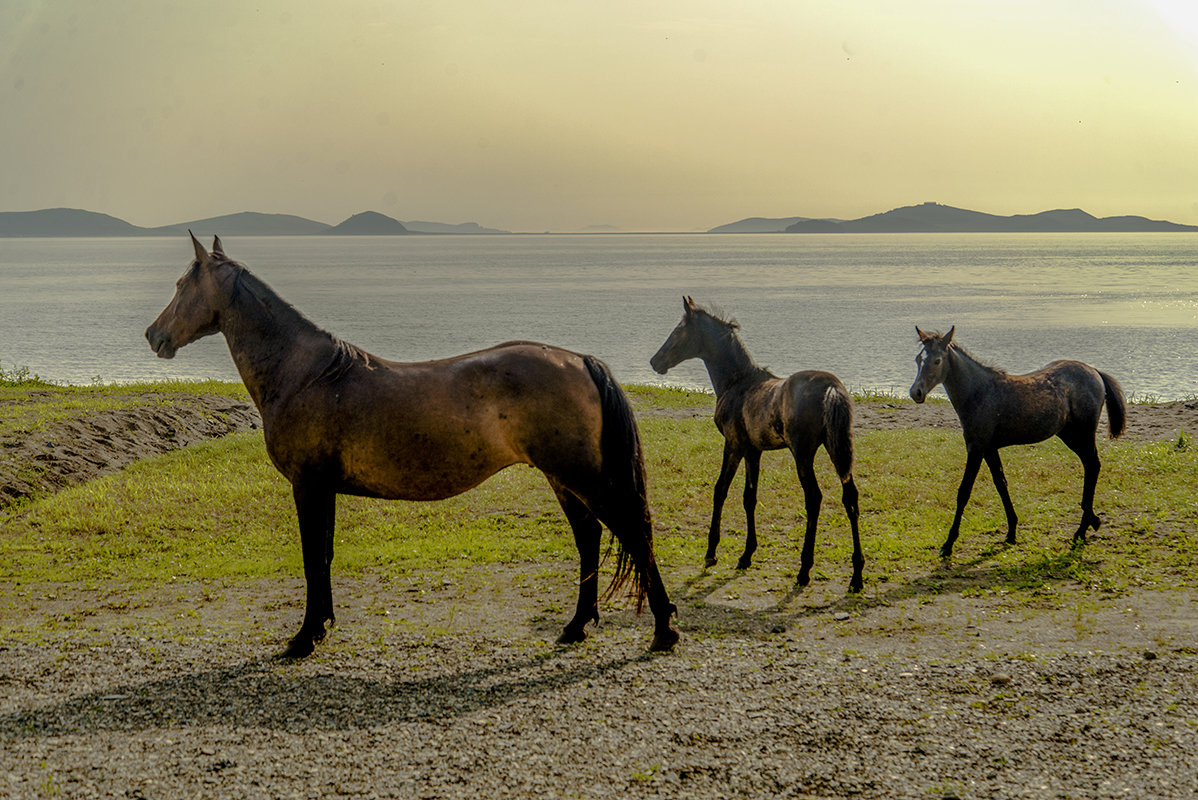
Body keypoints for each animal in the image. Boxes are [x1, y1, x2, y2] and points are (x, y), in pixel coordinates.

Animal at [144, 231, 680, 656]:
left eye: (180, 285)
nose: (153, 335)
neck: (307, 374)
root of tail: (580, 360)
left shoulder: (308, 486)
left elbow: (312, 558)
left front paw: (303, 638)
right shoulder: (323, 490)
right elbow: (325, 555)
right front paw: (323, 626)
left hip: (584, 477)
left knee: (634, 532)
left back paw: (663, 630)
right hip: (564, 478)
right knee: (590, 538)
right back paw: (576, 626)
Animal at [651, 298, 867, 594]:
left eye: (677, 331)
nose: (655, 361)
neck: (737, 382)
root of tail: (831, 386)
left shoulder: (733, 444)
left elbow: (720, 490)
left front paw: (711, 553)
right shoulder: (754, 450)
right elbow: (749, 497)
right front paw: (746, 555)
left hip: (803, 453)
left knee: (814, 498)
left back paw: (804, 570)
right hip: (837, 448)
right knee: (851, 498)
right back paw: (856, 575)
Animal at [910, 325, 1126, 555]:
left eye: (937, 361)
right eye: (918, 358)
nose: (916, 392)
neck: (979, 392)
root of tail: (1095, 371)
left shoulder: (976, 447)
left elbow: (964, 491)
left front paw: (948, 543)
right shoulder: (989, 448)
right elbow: (1001, 483)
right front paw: (1011, 531)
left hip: (1082, 434)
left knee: (1093, 465)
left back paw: (1083, 528)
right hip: (1070, 435)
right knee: (1090, 465)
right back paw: (1089, 522)